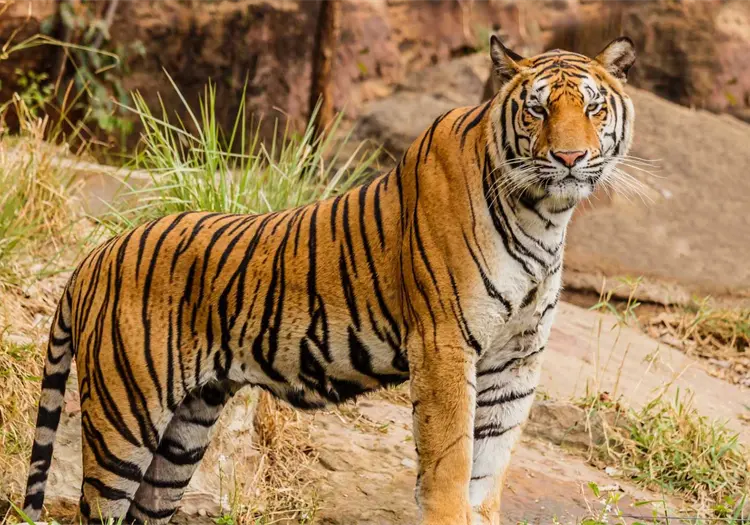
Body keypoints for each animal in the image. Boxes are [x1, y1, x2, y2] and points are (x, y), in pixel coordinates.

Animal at [22, 35, 636, 525]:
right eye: (536, 110)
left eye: (593, 107)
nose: (570, 157)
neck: (545, 215)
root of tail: (94, 256)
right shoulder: (444, 344)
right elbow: (450, 462)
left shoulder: (516, 360)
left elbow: (488, 469)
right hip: (124, 419)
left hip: (183, 434)